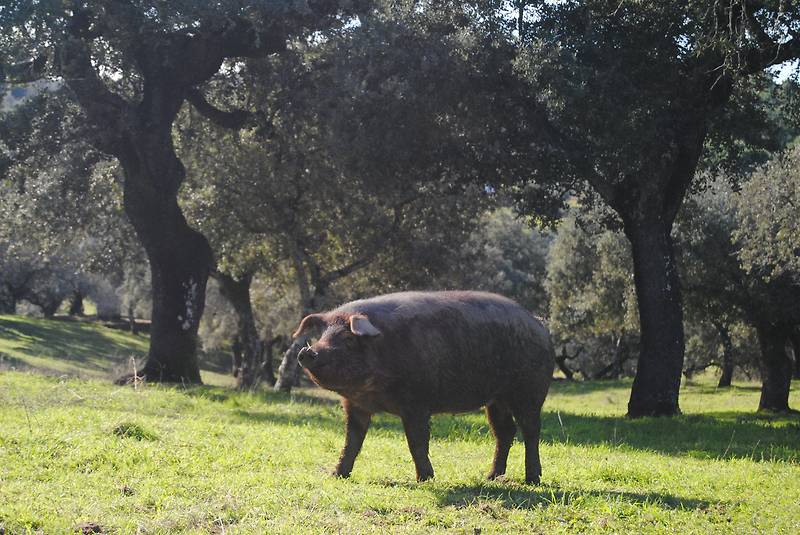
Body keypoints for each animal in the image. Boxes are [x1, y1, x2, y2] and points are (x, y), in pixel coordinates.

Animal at [294, 292, 556, 484]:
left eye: (348, 339)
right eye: (322, 335)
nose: (308, 351)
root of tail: (540, 326)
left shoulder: (417, 402)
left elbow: (416, 441)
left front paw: (425, 479)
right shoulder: (355, 405)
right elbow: (352, 441)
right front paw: (337, 474)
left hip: (530, 391)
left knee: (531, 430)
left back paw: (532, 479)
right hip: (496, 400)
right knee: (505, 432)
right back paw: (490, 477)